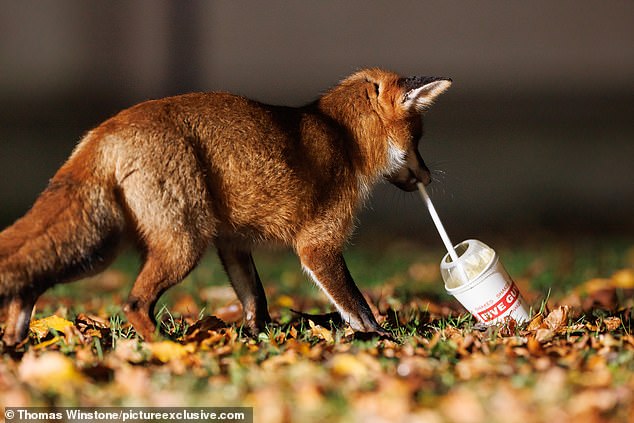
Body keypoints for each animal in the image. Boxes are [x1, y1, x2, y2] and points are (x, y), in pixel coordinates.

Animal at [0, 68, 450, 348]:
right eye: (418, 139)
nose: (430, 178)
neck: (343, 137)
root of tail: (104, 129)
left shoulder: (233, 242)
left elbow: (255, 300)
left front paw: (258, 340)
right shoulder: (318, 245)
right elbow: (356, 305)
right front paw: (381, 339)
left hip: (99, 250)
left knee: (32, 281)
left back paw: (14, 339)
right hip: (179, 247)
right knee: (133, 303)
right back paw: (169, 350)